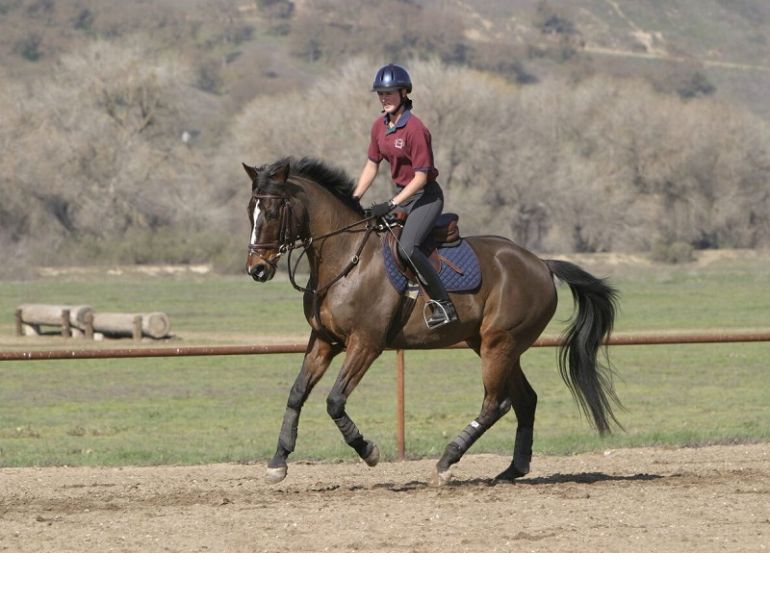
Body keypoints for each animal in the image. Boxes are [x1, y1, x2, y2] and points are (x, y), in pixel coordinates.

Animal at [242, 156, 620, 485]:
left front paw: (368, 450)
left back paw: (447, 460)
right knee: (525, 400)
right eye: (251, 212)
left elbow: (334, 401)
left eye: (272, 212)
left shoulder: (365, 343)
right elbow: (296, 394)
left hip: (500, 343)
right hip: (492, 344)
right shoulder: (324, 341)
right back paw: (513, 469)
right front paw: (278, 462)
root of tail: (541, 263)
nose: (257, 269)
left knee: (495, 403)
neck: (346, 259)